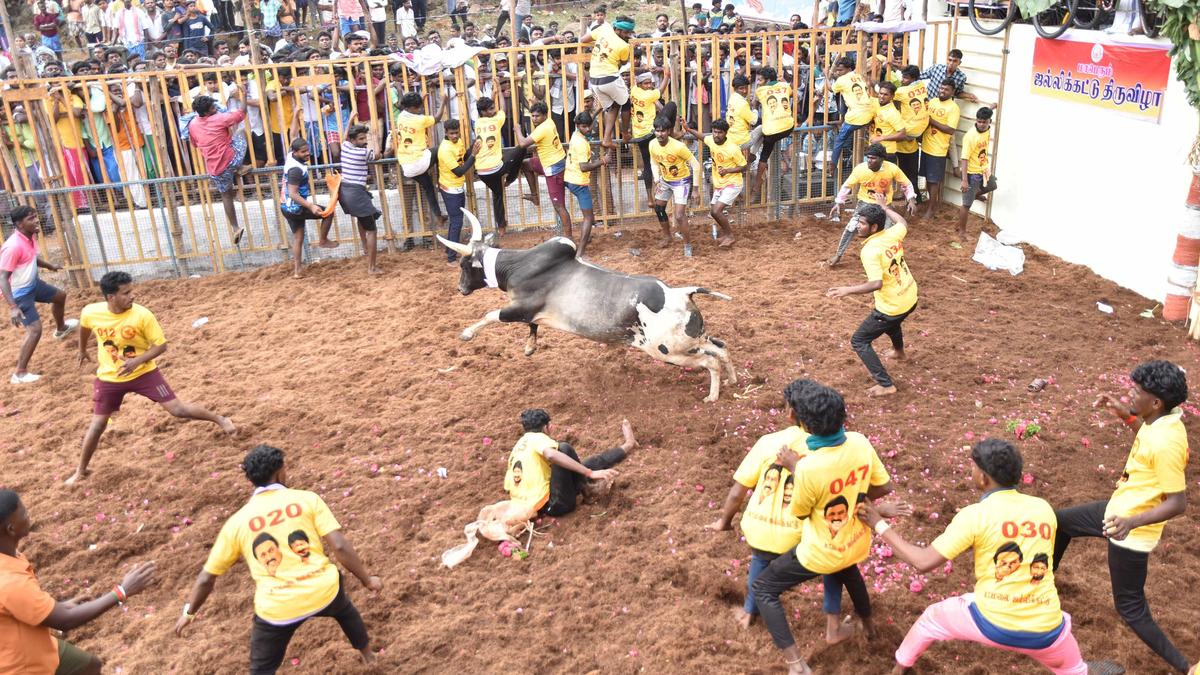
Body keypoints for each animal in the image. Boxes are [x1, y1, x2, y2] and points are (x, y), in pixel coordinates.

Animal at [441, 210, 734, 398]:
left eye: (464, 264)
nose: (460, 288)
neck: (519, 265)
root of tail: (683, 293)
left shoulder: (518, 308)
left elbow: (491, 315)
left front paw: (466, 333)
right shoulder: (528, 313)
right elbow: (532, 326)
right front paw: (529, 348)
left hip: (668, 351)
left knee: (711, 362)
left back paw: (712, 396)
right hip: (693, 340)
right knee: (720, 348)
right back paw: (732, 379)